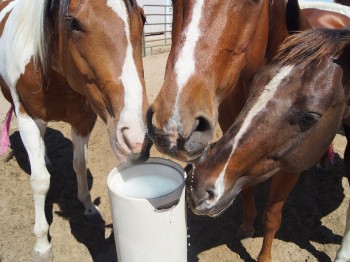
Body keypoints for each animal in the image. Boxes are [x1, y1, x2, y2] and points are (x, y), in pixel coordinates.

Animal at [0, 1, 147, 260]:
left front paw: (88, 206)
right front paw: (41, 244)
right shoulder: (27, 118)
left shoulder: (83, 121)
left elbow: (79, 165)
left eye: (143, 18)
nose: (136, 140)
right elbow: (40, 181)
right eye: (73, 23)